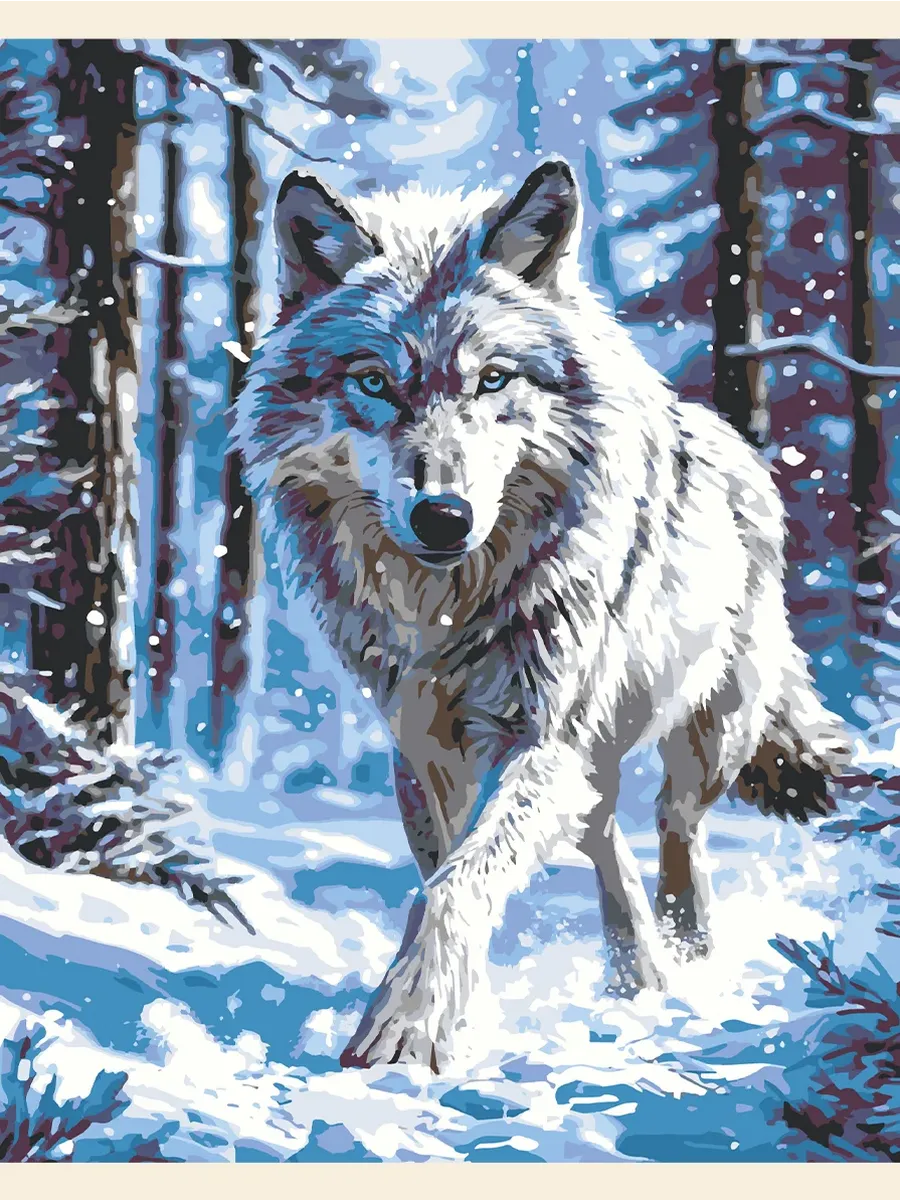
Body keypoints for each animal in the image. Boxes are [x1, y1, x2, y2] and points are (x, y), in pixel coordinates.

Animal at [232, 158, 852, 1073]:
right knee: (602, 833)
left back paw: (687, 961)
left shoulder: (537, 734)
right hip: (580, 754)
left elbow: (456, 885)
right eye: (375, 382)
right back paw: (640, 975)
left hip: (703, 734)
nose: (442, 516)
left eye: (493, 378)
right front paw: (449, 1010)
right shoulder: (423, 747)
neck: (449, 614)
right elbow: (443, 876)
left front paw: (407, 1026)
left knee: (674, 827)